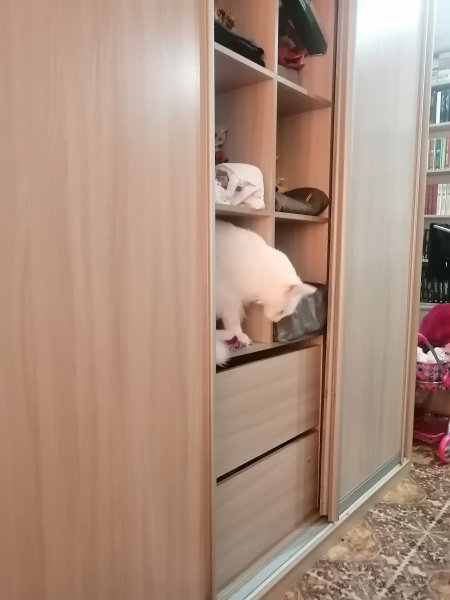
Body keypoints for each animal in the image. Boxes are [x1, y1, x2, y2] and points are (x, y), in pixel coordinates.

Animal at [215, 221, 316, 364]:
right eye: (281, 312)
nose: (275, 320)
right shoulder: (229, 298)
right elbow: (233, 321)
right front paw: (240, 336)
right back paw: (228, 336)